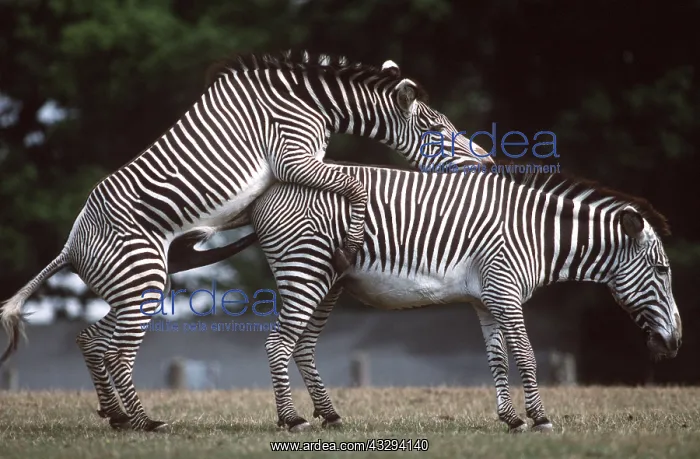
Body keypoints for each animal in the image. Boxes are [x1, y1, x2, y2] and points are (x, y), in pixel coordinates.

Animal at [0, 51, 494, 431]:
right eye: (436, 131)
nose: (488, 162)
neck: (308, 101)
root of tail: (70, 244)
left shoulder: (300, 166)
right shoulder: (294, 160)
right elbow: (355, 185)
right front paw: (351, 241)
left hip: (131, 285)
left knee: (91, 339)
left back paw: (117, 415)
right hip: (142, 278)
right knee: (118, 351)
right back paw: (145, 422)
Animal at [184, 161, 682, 432]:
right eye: (662, 270)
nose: (675, 343)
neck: (535, 236)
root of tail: (267, 191)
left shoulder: (487, 298)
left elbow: (498, 358)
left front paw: (511, 419)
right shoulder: (505, 290)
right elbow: (525, 355)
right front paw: (539, 419)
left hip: (329, 280)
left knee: (302, 345)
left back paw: (330, 415)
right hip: (305, 270)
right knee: (279, 344)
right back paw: (291, 419)